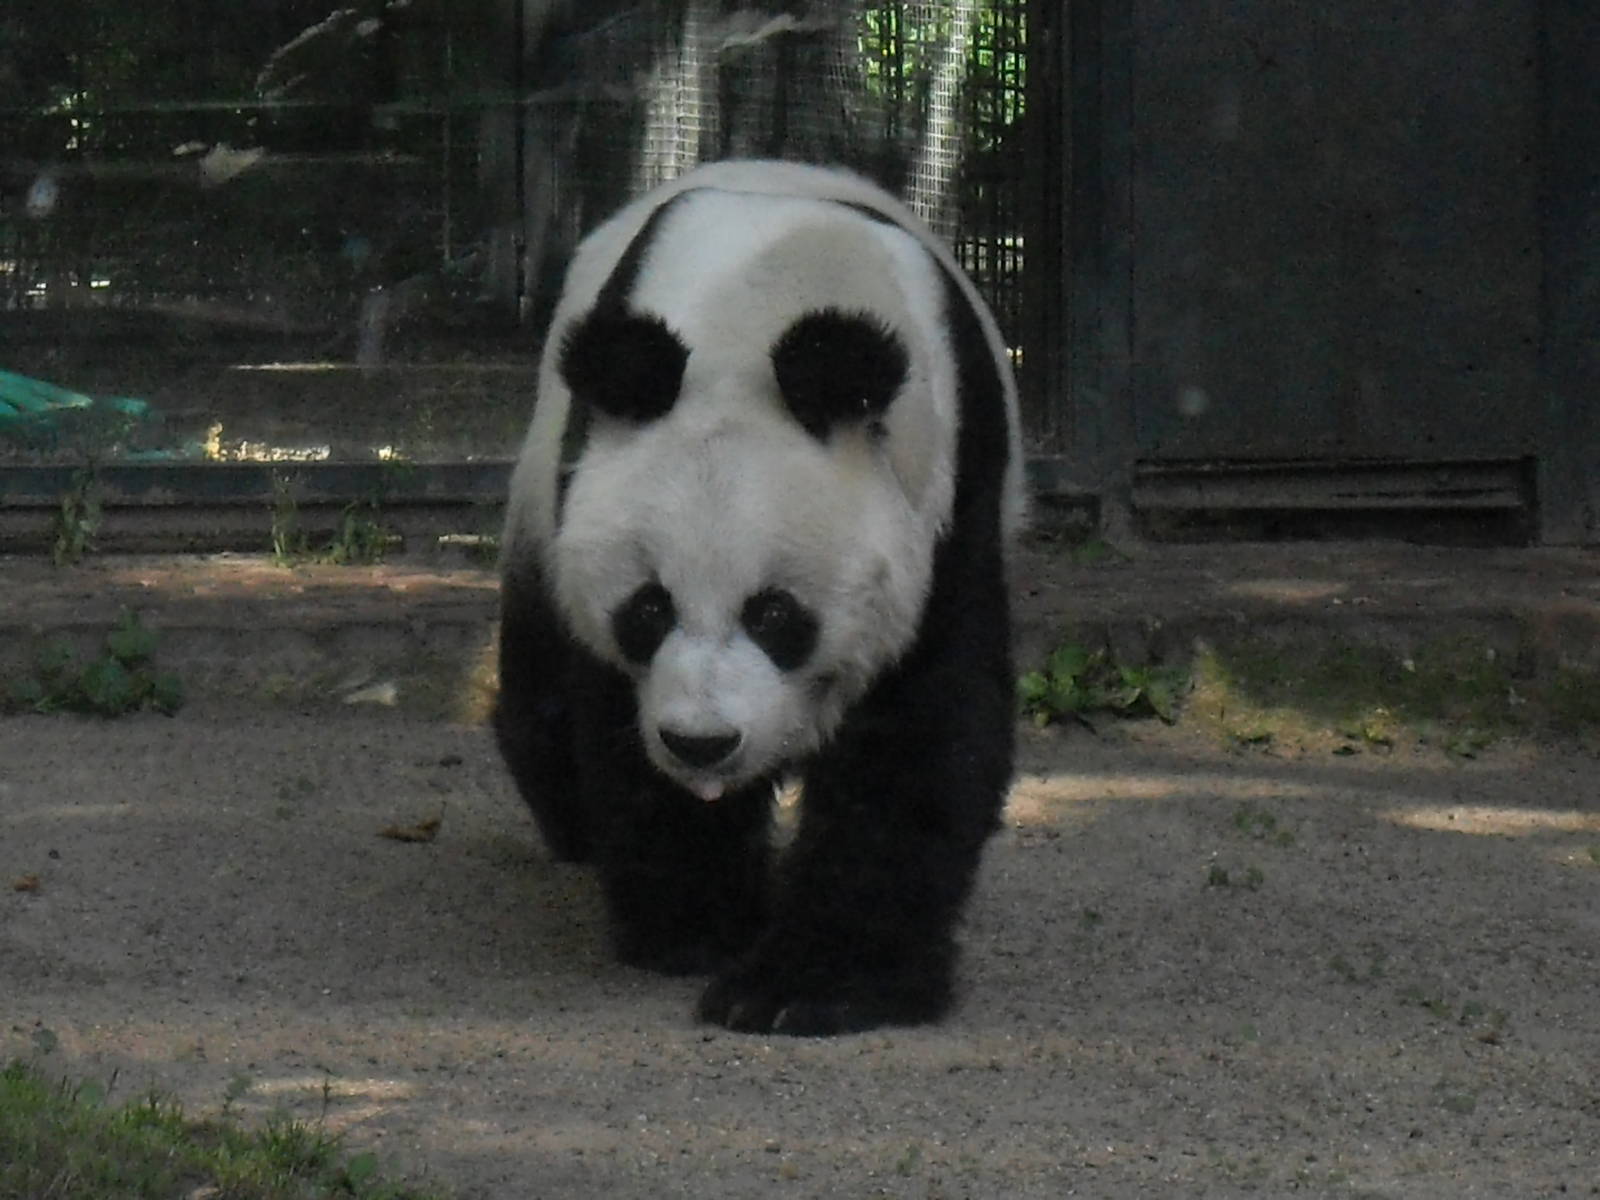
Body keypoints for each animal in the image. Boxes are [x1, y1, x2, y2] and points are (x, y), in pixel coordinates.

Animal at [494, 159, 1025, 1036]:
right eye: (648, 609)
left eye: (776, 615)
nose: (702, 744)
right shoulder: (586, 501)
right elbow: (617, 728)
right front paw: (697, 927)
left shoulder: (948, 507)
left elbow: (919, 737)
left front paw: (809, 985)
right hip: (539, 492)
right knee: (541, 691)